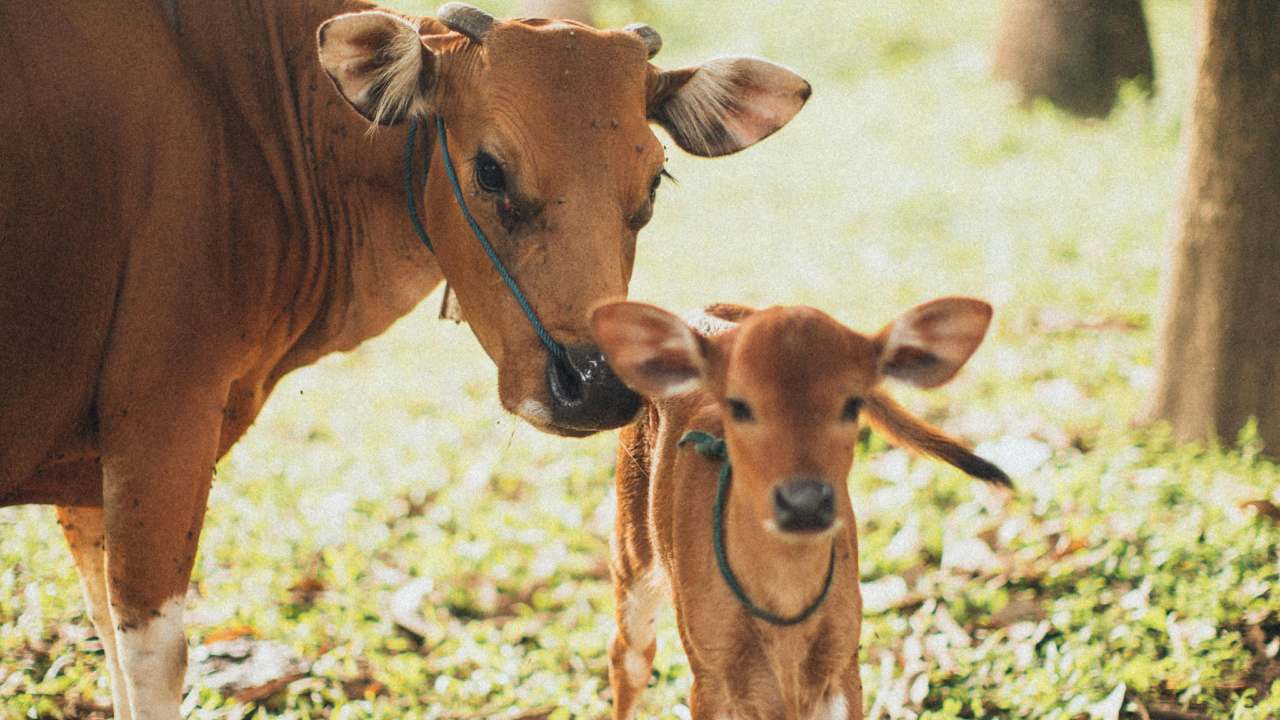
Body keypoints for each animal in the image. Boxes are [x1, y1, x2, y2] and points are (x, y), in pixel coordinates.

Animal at [0, 1, 811, 715]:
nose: (598, 385)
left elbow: (109, 639)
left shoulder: (90, 470)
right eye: (490, 170)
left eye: (653, 182)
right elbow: (153, 658)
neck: (244, 107)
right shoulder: (161, 423)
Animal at [590, 299, 1009, 719]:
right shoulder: (709, 675)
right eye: (738, 405)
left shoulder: (844, 662)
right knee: (628, 656)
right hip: (630, 555)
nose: (804, 502)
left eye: (853, 402)